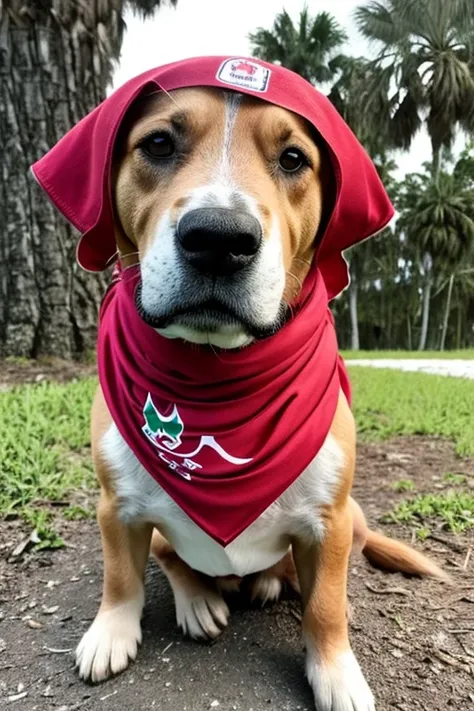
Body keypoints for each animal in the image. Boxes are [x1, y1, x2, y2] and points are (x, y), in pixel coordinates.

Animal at [32, 57, 444, 711]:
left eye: (294, 159)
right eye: (158, 144)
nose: (219, 240)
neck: (214, 372)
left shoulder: (329, 521)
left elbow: (327, 607)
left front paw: (336, 670)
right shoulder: (115, 508)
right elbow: (121, 579)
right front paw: (111, 630)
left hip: (352, 520)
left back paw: (274, 584)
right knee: (174, 561)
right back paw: (200, 601)